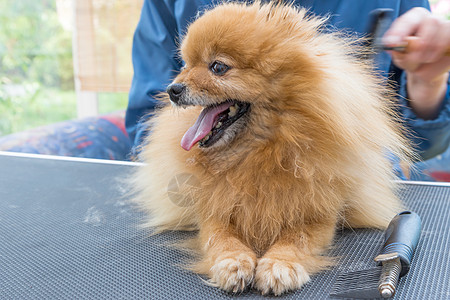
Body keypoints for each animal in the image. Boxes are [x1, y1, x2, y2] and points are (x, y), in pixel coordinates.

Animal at [131, 0, 412, 296]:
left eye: (217, 67)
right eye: (185, 65)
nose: (173, 89)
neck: (258, 153)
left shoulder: (318, 213)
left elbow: (297, 238)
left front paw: (280, 264)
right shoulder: (213, 209)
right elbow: (219, 237)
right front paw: (232, 261)